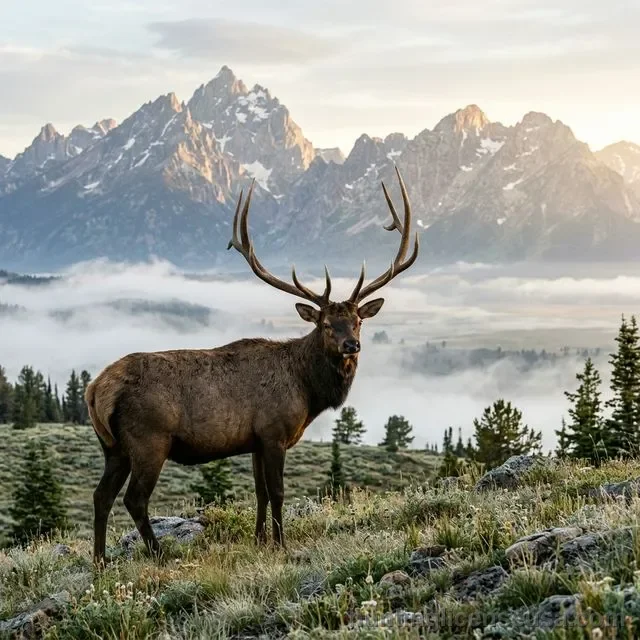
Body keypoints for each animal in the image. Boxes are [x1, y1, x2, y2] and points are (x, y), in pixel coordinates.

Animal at [86, 168, 419, 564]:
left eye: (358, 321)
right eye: (325, 324)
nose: (351, 345)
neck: (307, 391)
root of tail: (96, 389)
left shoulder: (255, 440)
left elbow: (259, 492)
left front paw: (260, 540)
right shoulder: (274, 432)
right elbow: (277, 492)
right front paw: (281, 543)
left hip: (113, 447)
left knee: (101, 495)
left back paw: (99, 561)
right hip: (149, 439)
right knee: (134, 499)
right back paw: (158, 553)